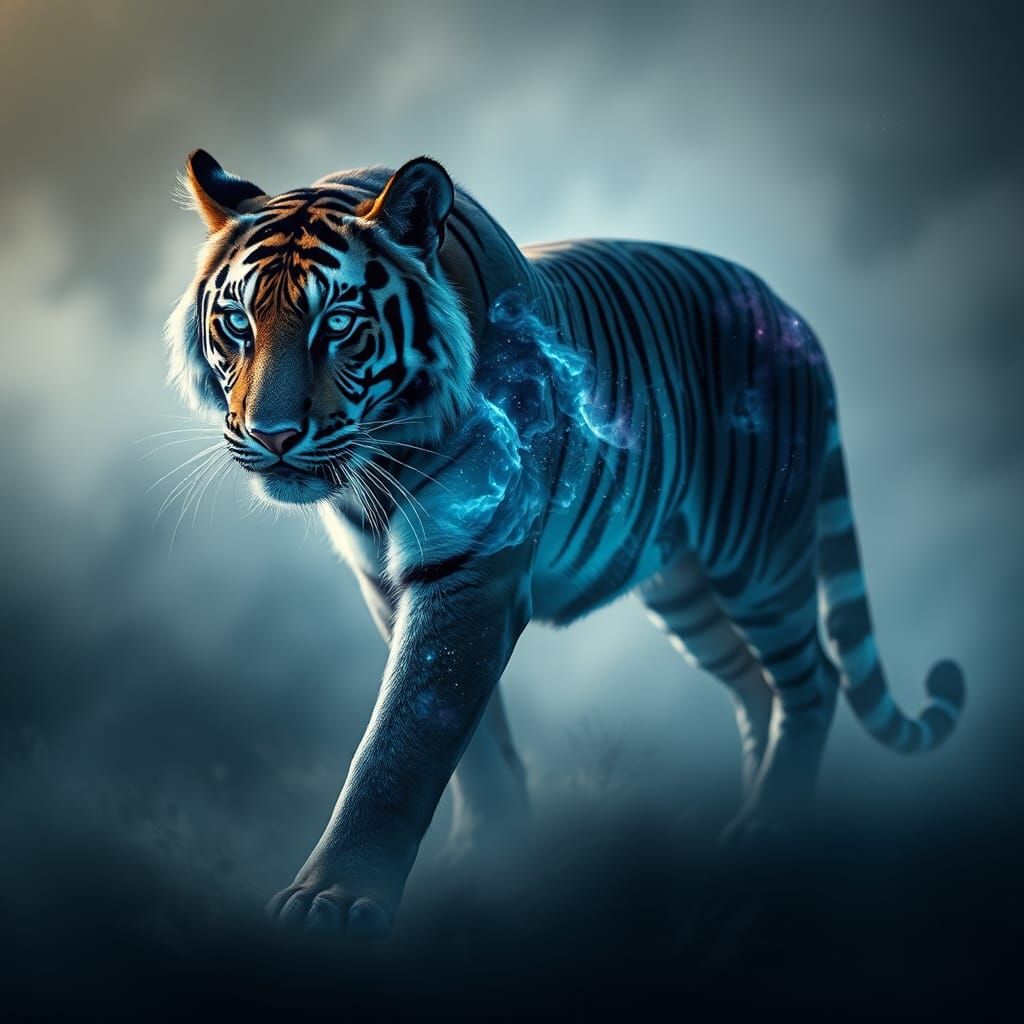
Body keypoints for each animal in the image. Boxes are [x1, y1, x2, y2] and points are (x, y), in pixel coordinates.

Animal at [166, 149, 966, 938]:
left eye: (336, 323)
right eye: (236, 322)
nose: (272, 436)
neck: (377, 465)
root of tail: (790, 311)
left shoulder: (471, 571)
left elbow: (400, 742)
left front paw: (332, 901)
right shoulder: (388, 587)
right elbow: (474, 743)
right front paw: (487, 854)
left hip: (757, 558)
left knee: (813, 679)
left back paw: (772, 828)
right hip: (683, 589)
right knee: (755, 686)